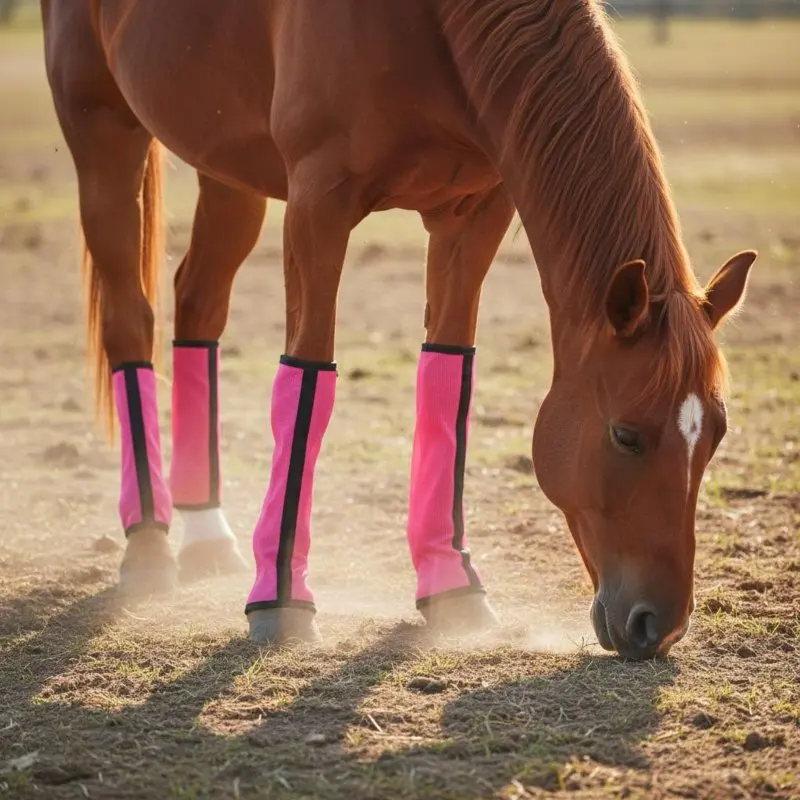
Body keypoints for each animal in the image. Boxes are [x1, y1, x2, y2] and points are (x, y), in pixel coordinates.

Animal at [41, 0, 756, 660]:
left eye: (717, 435)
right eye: (626, 436)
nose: (660, 627)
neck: (426, 25)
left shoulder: (473, 213)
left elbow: (447, 373)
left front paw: (452, 586)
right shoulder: (317, 202)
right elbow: (306, 379)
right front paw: (281, 598)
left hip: (227, 166)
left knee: (198, 305)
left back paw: (206, 532)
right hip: (102, 132)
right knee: (129, 320)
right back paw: (149, 542)